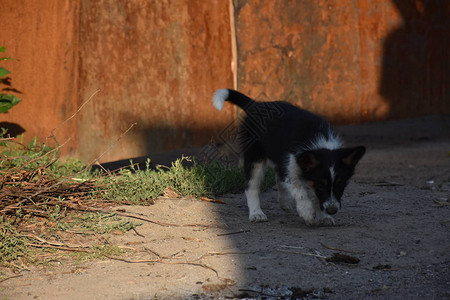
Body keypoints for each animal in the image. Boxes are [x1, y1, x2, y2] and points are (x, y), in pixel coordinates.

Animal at [213, 89, 364, 225]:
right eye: (321, 185)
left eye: (341, 184)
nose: (332, 210)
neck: (319, 143)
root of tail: (256, 105)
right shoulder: (290, 168)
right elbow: (300, 191)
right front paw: (307, 212)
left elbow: (315, 196)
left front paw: (323, 216)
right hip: (254, 158)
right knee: (251, 186)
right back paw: (256, 213)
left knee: (278, 178)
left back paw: (284, 202)